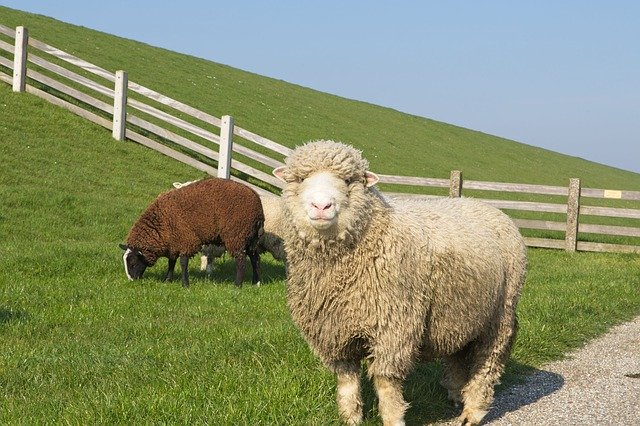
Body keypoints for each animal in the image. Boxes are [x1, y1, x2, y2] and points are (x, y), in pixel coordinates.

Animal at [120, 176, 262, 286]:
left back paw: (237, 285)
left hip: (236, 234)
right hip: (251, 236)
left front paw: (185, 284)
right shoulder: (173, 242)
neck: (161, 223)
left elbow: (183, 262)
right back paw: (256, 283)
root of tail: (257, 202)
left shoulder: (185, 239)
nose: (131, 280)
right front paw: (167, 280)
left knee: (241, 259)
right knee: (255, 258)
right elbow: (171, 262)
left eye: (132, 263)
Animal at [272, 141, 528, 426]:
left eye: (349, 180)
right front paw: (351, 418)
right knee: (458, 354)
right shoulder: (334, 331)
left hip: (501, 311)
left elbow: (386, 383)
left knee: (488, 360)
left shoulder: (394, 327)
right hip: (461, 312)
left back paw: (473, 410)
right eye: (299, 179)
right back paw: (455, 394)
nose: (321, 206)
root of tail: (487, 206)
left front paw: (393, 417)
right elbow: (347, 380)